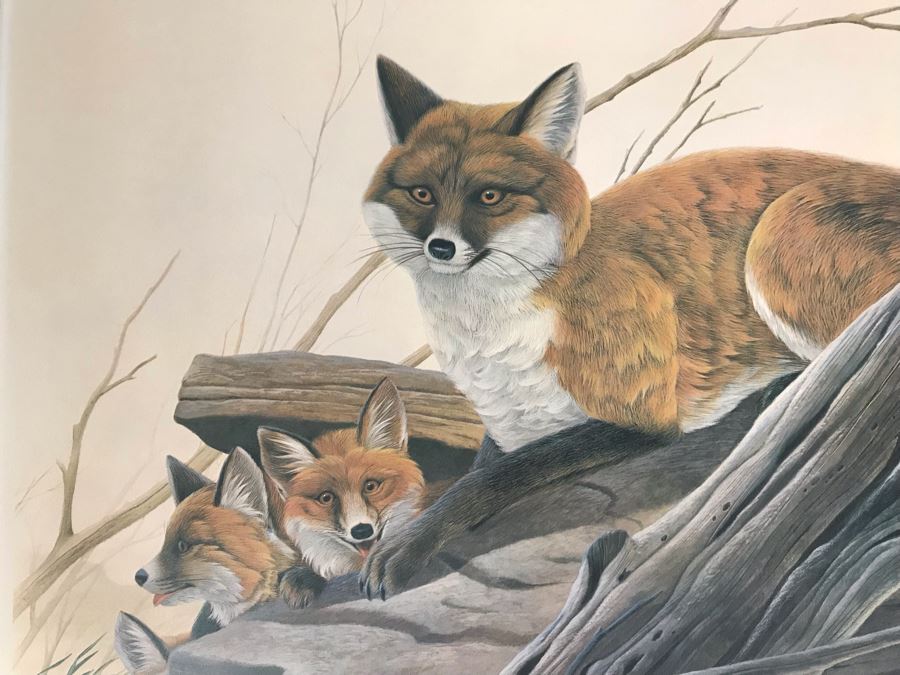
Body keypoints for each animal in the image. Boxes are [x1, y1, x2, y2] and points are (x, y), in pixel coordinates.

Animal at [358, 56, 900, 598]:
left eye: (489, 196)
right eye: (422, 194)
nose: (441, 247)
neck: (492, 342)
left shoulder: (645, 417)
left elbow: (492, 479)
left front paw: (404, 550)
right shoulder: (510, 425)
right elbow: (467, 475)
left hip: (776, 242)